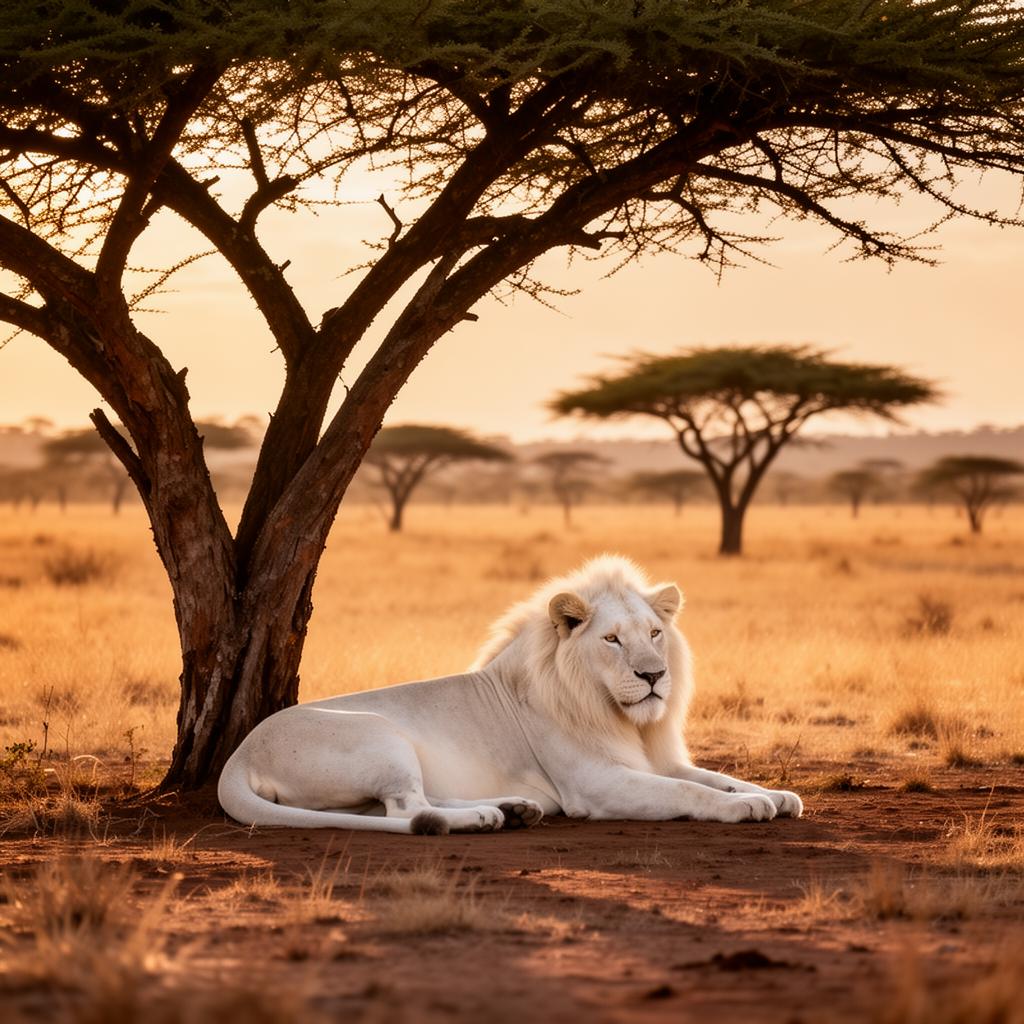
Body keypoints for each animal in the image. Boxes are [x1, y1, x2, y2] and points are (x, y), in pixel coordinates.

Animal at [218, 554, 802, 833]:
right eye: (612, 640)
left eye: (655, 633)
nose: (654, 675)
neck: (621, 716)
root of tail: (239, 754)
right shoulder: (597, 784)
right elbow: (688, 793)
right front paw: (746, 807)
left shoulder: (658, 759)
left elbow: (714, 777)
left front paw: (773, 795)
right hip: (380, 735)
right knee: (406, 809)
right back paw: (483, 819)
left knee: (398, 807)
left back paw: (514, 809)